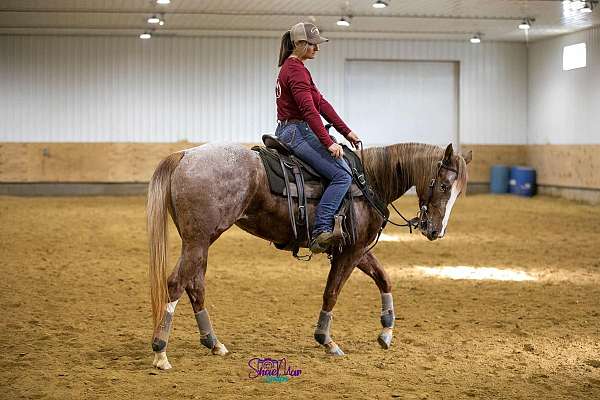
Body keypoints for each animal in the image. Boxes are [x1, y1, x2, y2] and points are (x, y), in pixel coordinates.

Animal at [148, 141, 472, 368]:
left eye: (458, 193)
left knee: (195, 285)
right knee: (176, 283)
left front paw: (386, 333)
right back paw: (161, 352)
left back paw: (213, 342)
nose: (435, 231)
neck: (368, 181)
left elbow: (384, 279)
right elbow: (332, 292)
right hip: (198, 240)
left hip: (200, 241)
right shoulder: (351, 252)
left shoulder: (357, 250)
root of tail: (185, 155)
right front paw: (326, 340)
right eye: (444, 185)